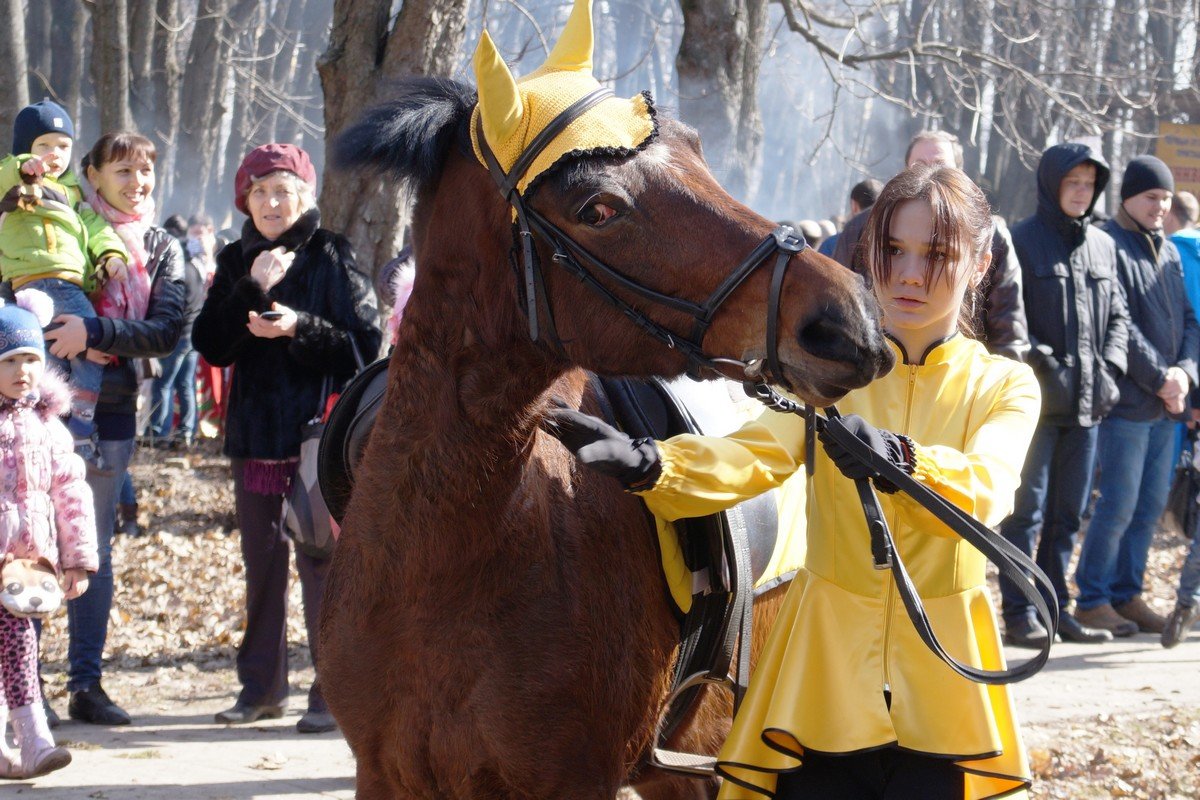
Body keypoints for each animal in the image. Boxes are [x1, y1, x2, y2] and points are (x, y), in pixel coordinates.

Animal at [319, 71, 892, 796]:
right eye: (596, 209)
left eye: (698, 154)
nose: (846, 318)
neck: (444, 564)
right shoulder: (387, 773)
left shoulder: (576, 777)